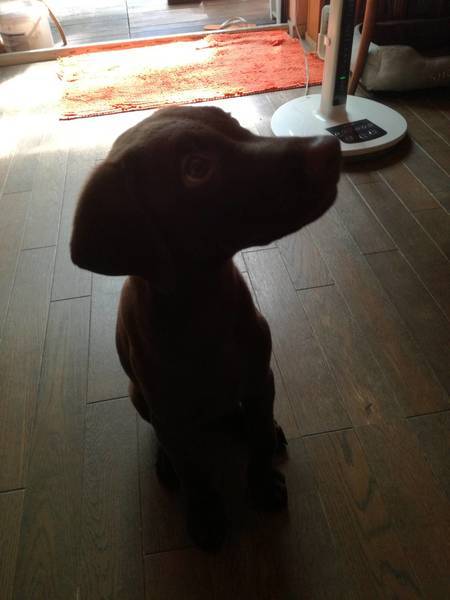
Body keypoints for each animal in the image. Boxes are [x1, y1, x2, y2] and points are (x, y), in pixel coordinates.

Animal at [70, 105, 341, 551]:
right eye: (196, 169)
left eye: (234, 123)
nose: (330, 147)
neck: (204, 305)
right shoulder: (167, 409)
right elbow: (193, 470)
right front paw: (205, 516)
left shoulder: (259, 377)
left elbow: (260, 438)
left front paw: (262, 485)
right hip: (139, 397)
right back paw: (167, 462)